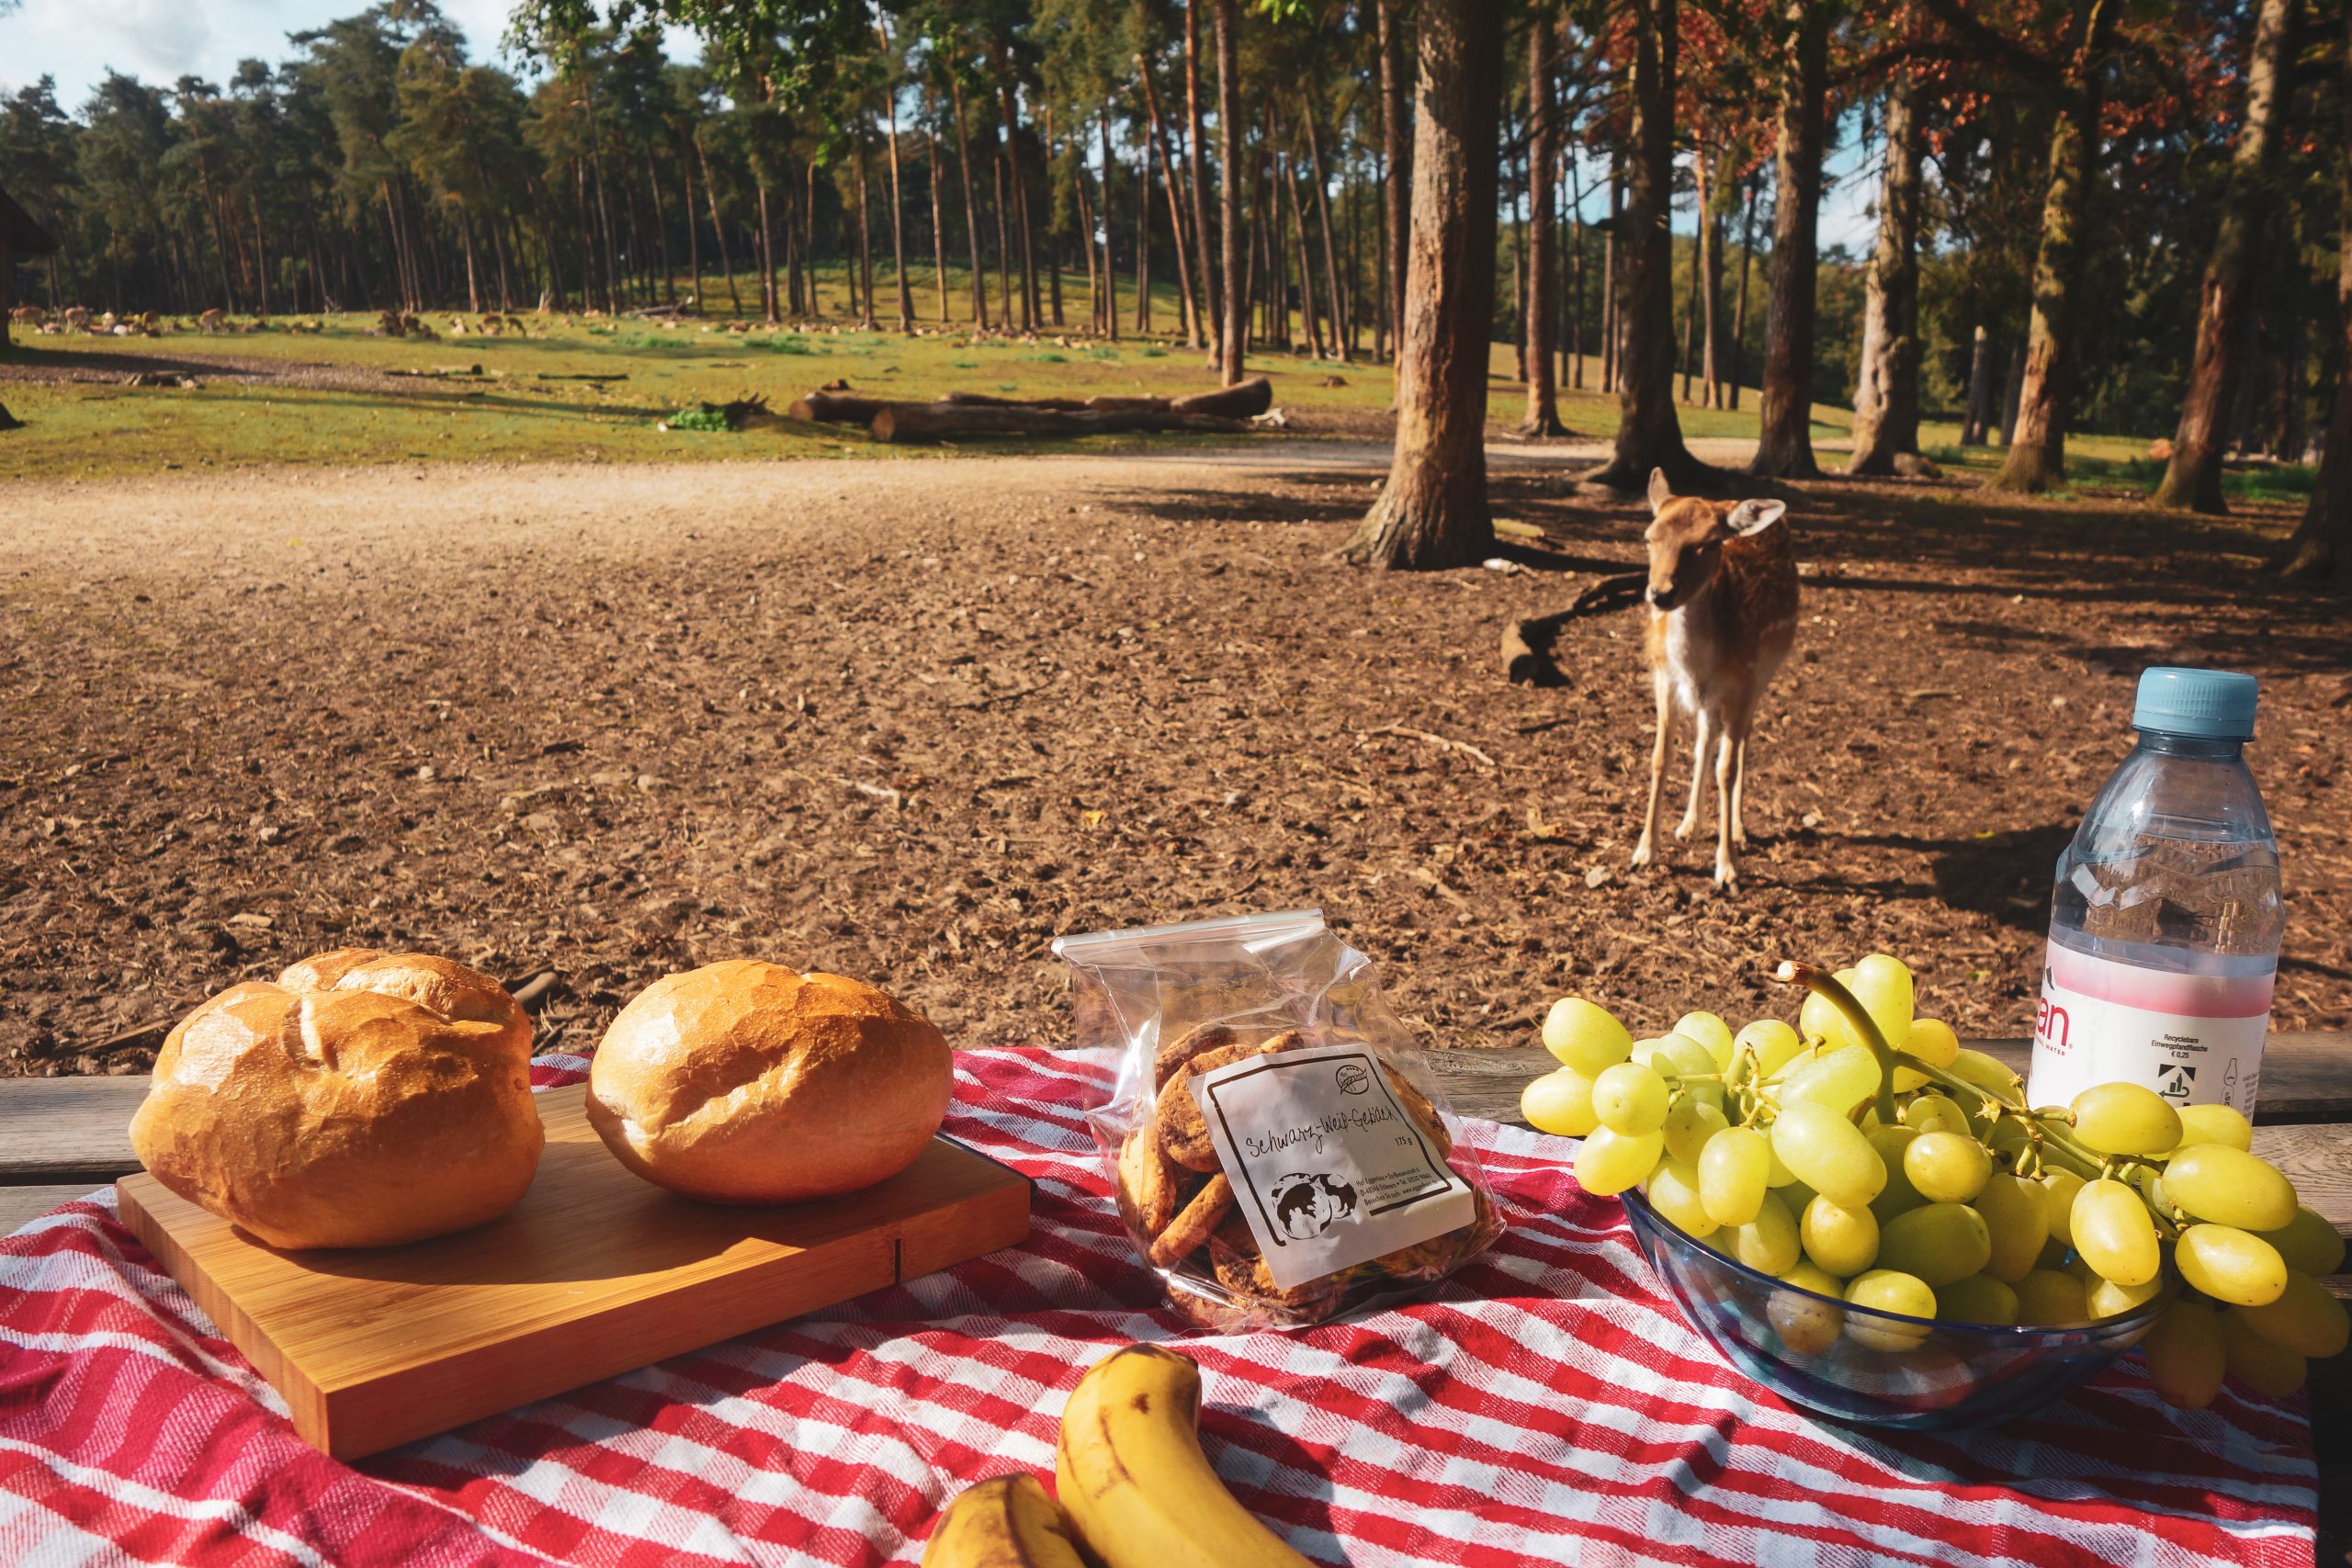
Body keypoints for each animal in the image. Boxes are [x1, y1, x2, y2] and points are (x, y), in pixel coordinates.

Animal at [1636, 465, 1796, 893]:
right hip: (1711, 698)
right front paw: (1644, 851)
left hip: (1763, 676)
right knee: (1705, 738)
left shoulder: (1742, 682)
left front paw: (1726, 868)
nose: (1660, 593)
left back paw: (1738, 829)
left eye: (1707, 545)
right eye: (1649, 537)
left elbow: (1727, 768)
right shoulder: (1664, 679)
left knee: (1742, 743)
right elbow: (1661, 756)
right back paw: (1689, 823)